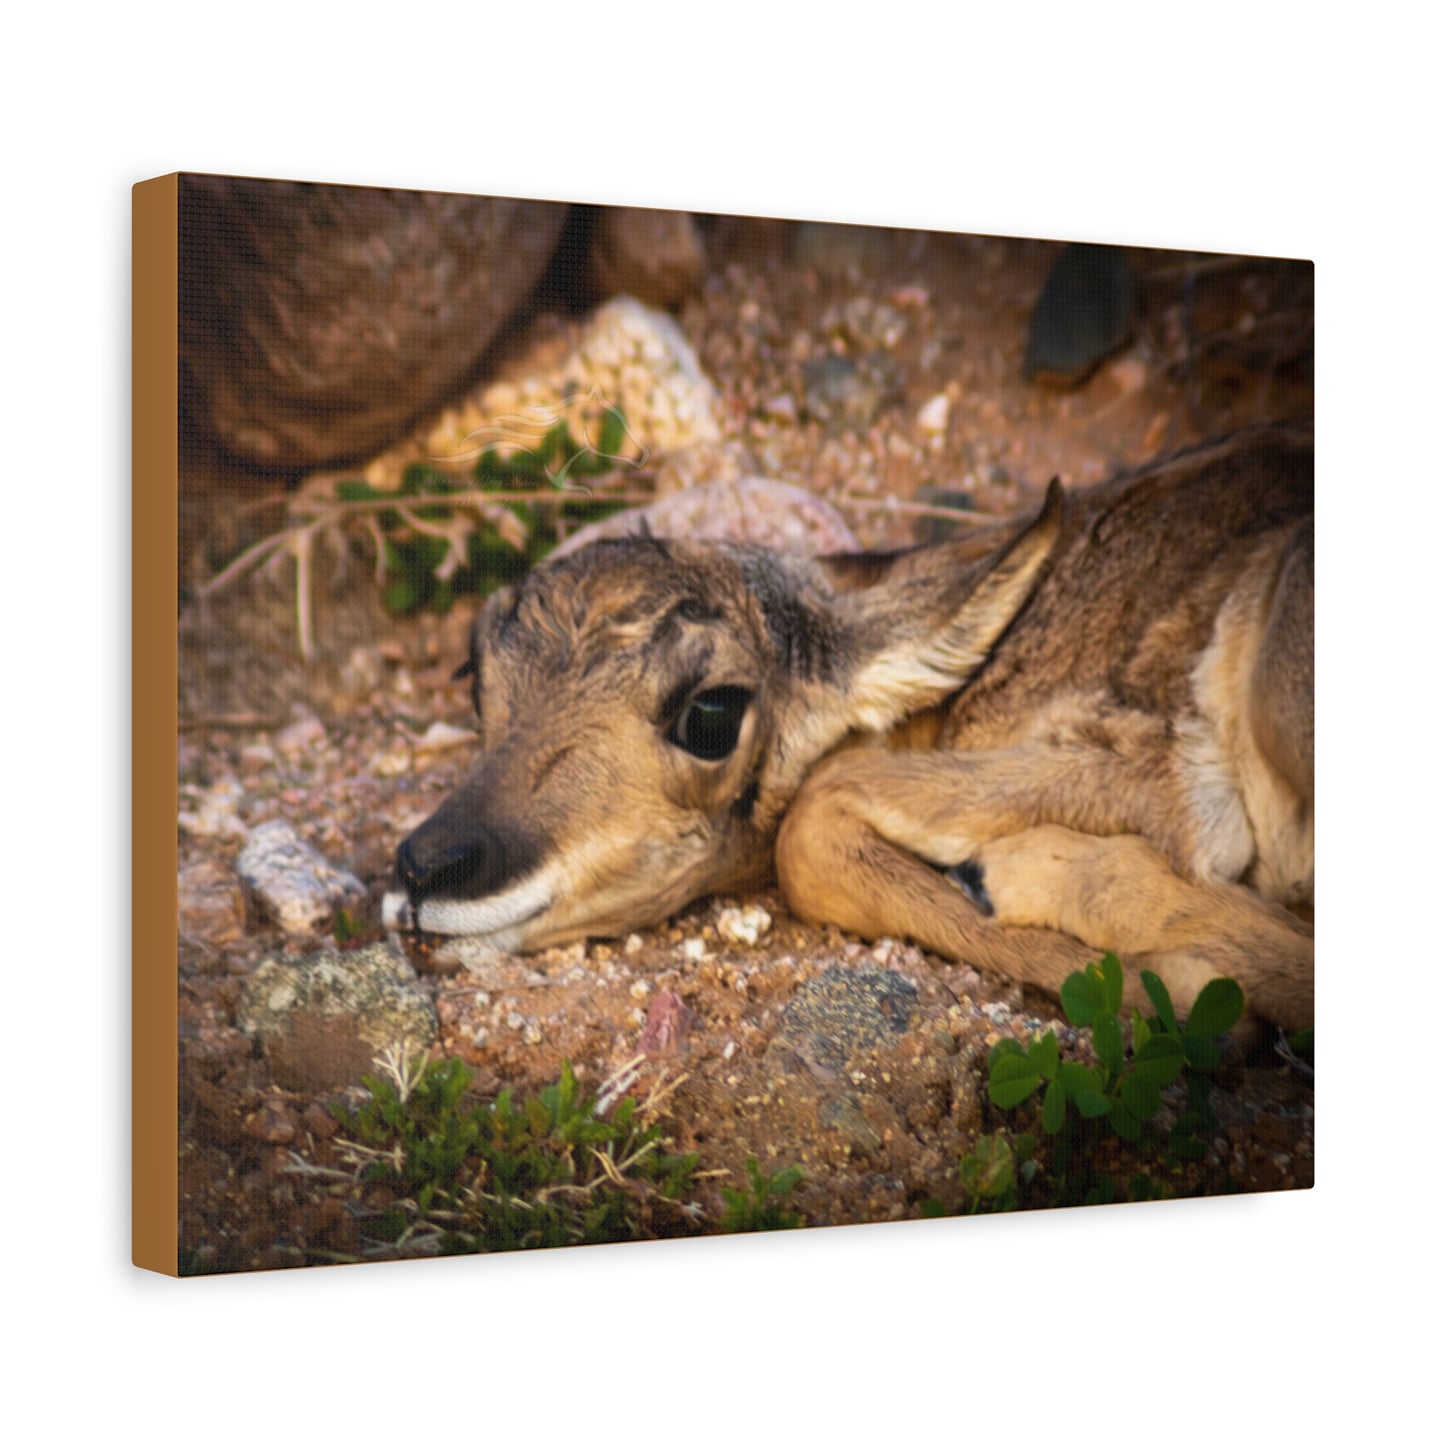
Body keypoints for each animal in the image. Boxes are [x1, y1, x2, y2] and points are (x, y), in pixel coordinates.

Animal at [384, 425, 1313, 1030]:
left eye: (710, 712)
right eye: (475, 671)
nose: (426, 869)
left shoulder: (1169, 780)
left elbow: (812, 820)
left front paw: (1185, 990)